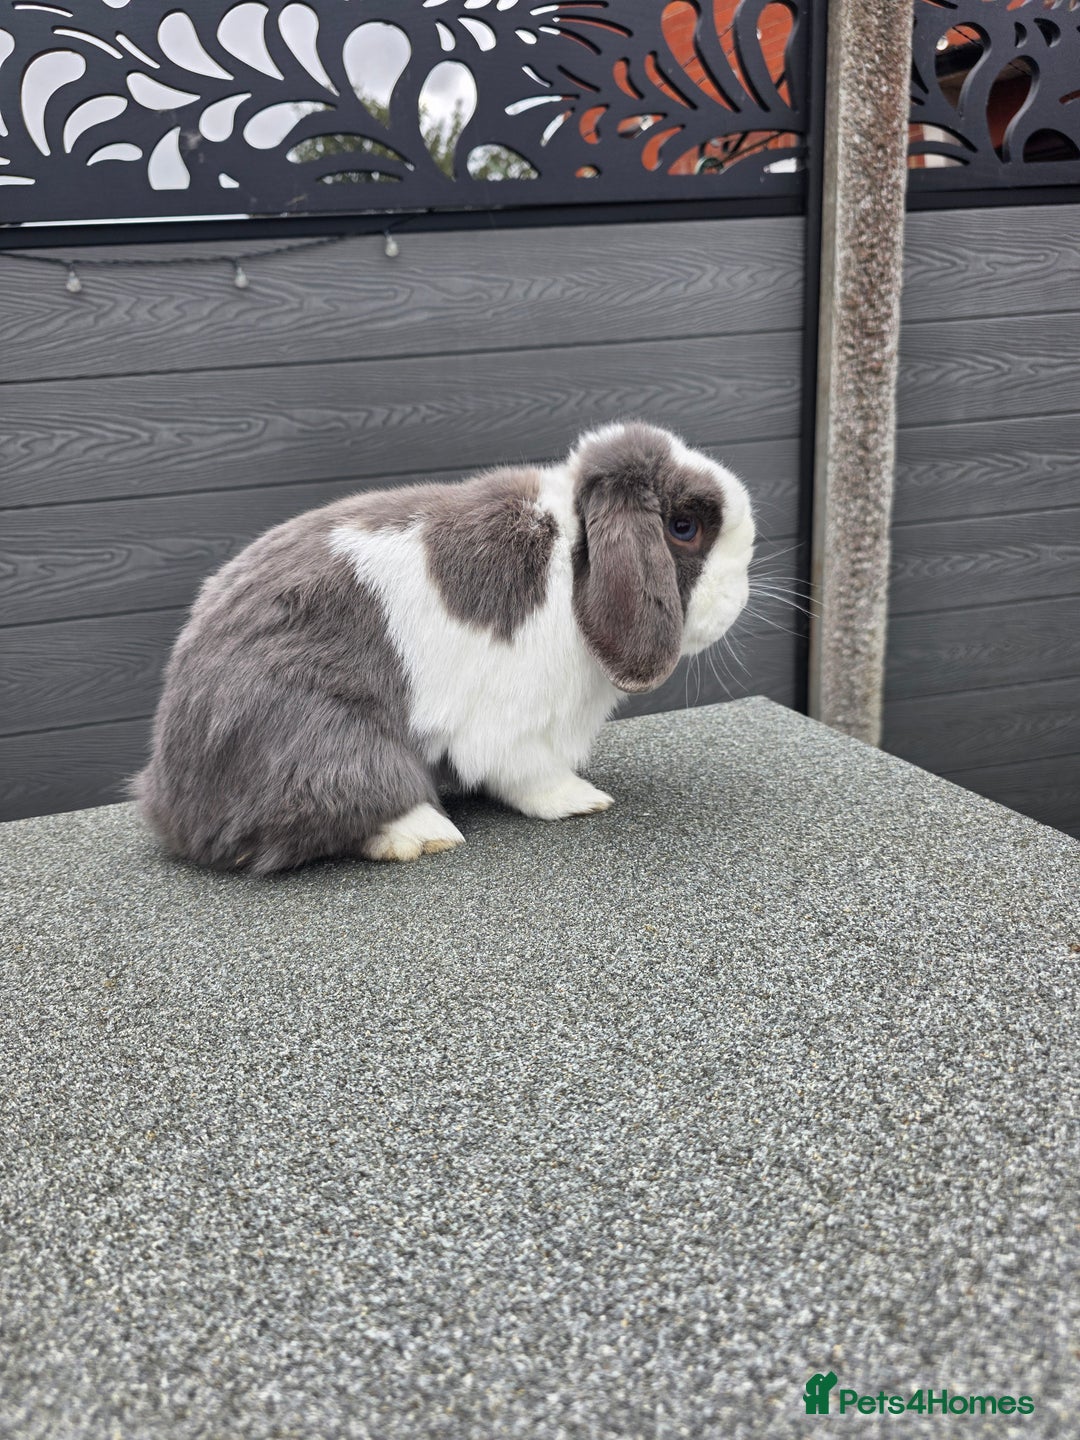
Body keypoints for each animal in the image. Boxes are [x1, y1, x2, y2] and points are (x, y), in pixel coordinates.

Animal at [132, 420, 755, 873]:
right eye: (682, 528)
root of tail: (171, 800)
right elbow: (530, 774)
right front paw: (581, 799)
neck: (575, 552)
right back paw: (424, 832)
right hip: (325, 737)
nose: (741, 595)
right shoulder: (517, 719)